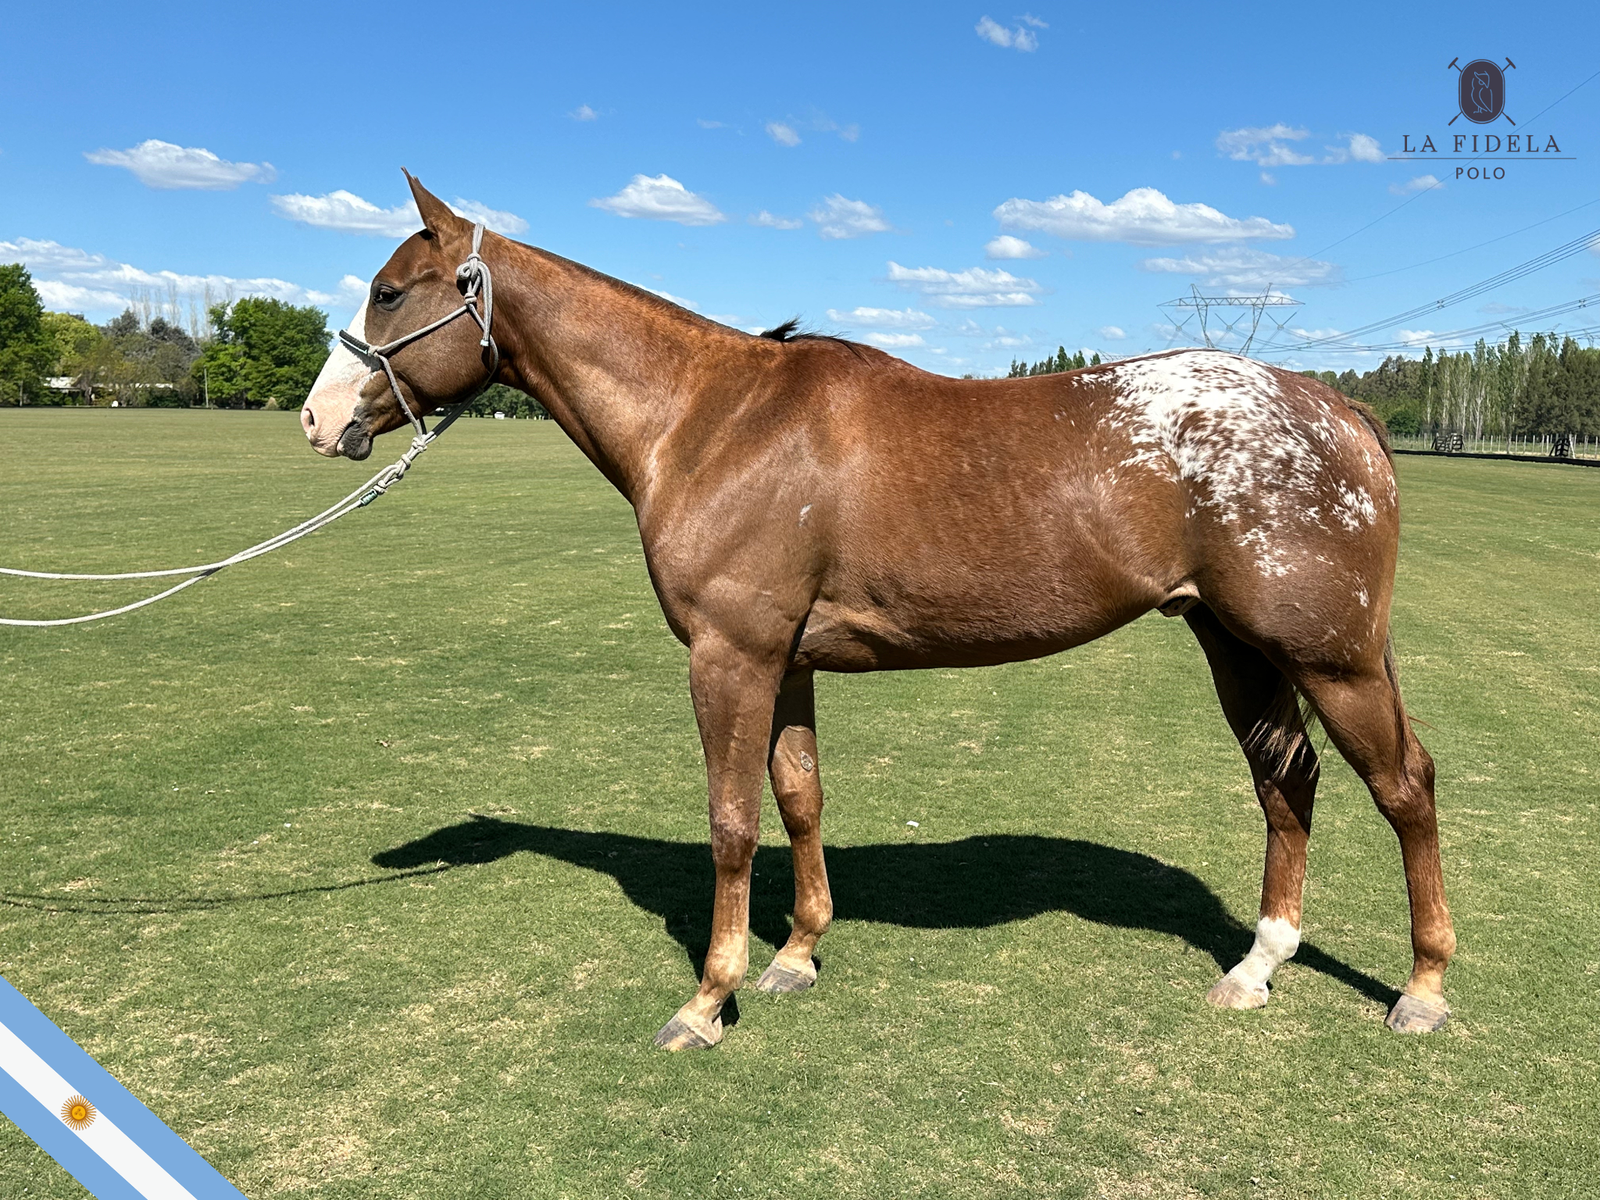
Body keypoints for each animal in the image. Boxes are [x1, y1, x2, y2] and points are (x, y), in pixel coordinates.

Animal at [294, 171, 1459, 1049]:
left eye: (391, 292)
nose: (315, 419)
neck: (711, 419)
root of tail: (1335, 407)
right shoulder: (788, 662)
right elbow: (800, 800)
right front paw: (798, 956)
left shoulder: (728, 657)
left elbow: (731, 823)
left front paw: (707, 1000)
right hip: (1238, 647)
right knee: (1285, 784)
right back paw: (1256, 967)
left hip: (1333, 658)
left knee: (1403, 788)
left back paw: (1422, 989)